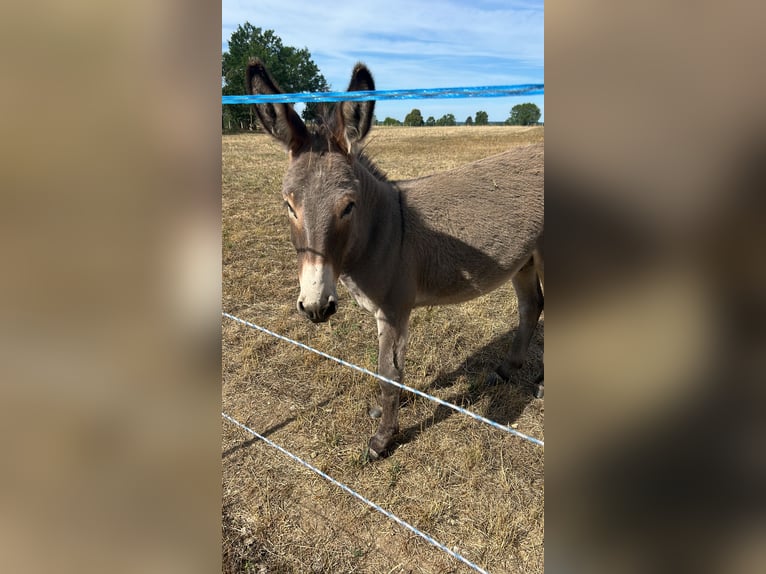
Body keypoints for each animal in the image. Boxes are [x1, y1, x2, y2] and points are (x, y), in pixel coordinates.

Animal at [247, 59, 544, 459]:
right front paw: (390, 411)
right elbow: (390, 373)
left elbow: (388, 374)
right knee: (531, 306)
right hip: (524, 258)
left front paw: (383, 439)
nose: (316, 307)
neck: (384, 228)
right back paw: (506, 370)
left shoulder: (394, 309)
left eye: (348, 206)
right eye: (289, 206)